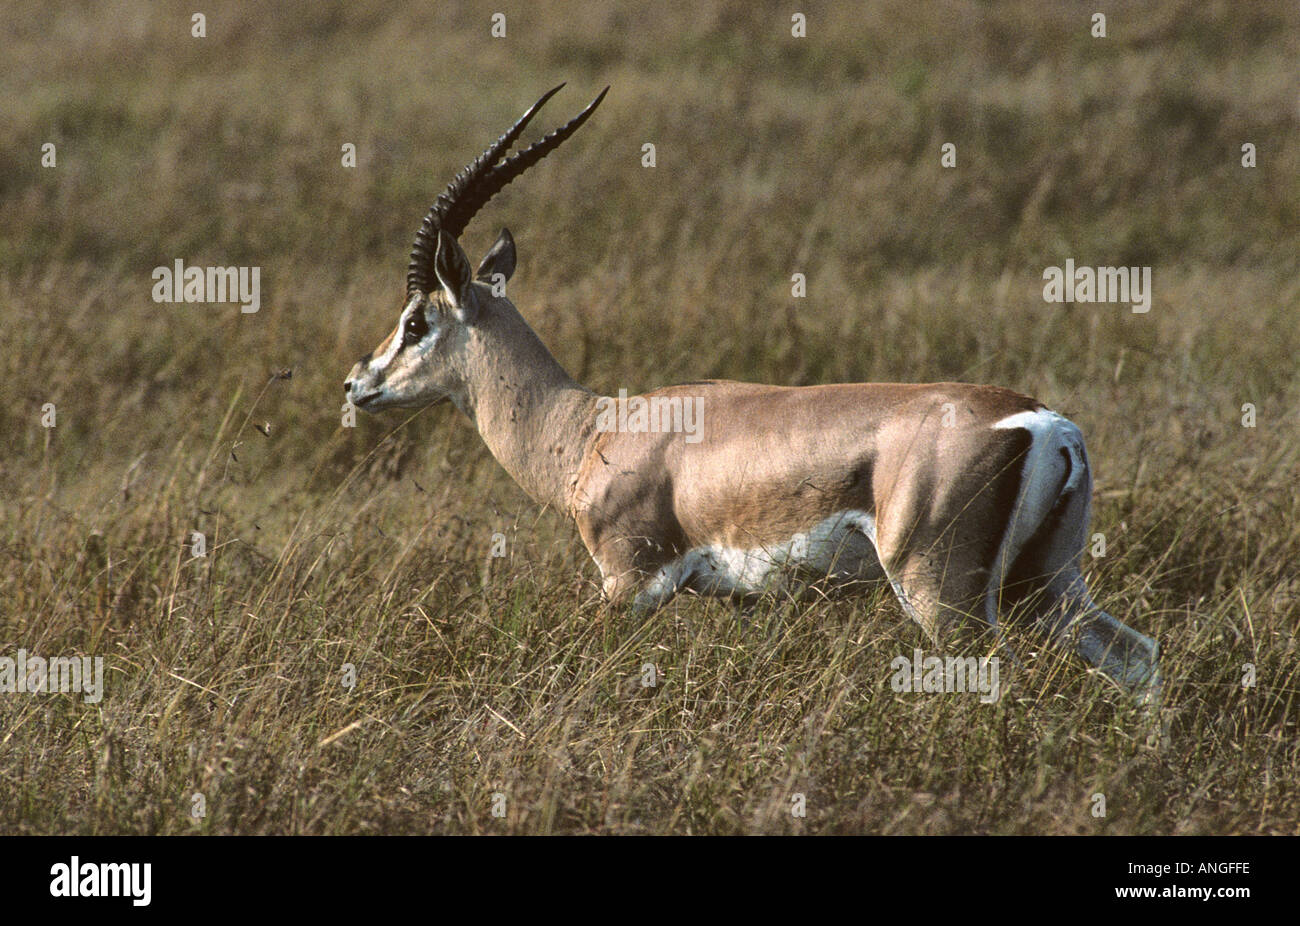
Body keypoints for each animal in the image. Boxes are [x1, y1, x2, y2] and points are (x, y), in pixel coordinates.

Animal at [344, 86, 1161, 701]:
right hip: (1046, 583)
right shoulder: (746, 603)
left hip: (943, 593)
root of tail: (1044, 423)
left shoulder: (627, 585)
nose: (357, 385)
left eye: (415, 320)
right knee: (1137, 656)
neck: (591, 428)